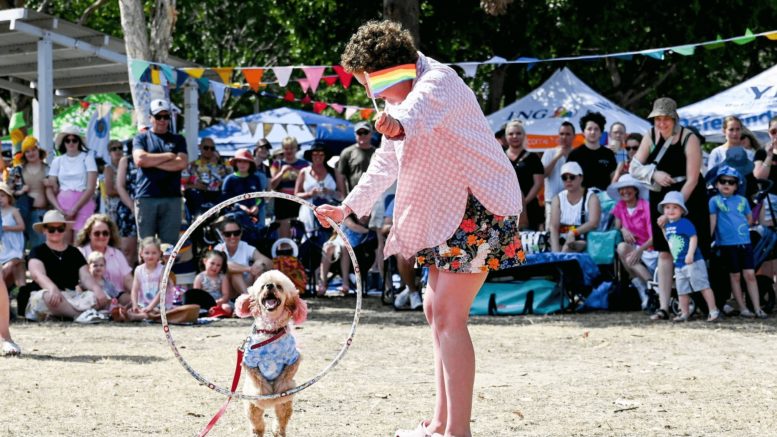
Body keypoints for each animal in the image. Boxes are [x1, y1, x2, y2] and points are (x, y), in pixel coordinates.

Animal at [235, 268, 308, 434]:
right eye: (263, 286)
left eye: (279, 287)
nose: (269, 286)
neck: (270, 331)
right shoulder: (249, 363)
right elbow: (259, 381)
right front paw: (265, 397)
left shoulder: (293, 359)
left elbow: (285, 378)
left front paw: (281, 392)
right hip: (251, 408)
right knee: (257, 425)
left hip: (284, 408)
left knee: (280, 423)